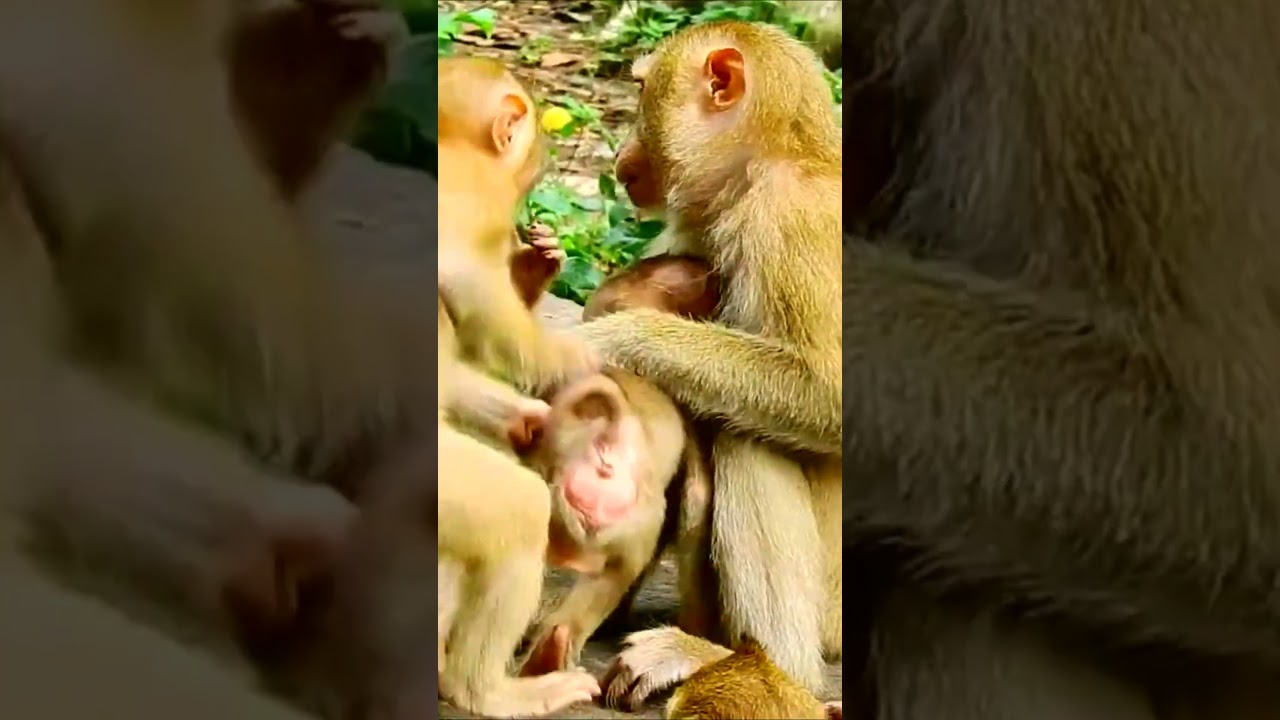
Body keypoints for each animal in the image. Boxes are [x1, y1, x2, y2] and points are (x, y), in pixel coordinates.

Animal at [574, 21, 843, 703]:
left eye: (642, 89)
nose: (622, 153)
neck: (772, 161)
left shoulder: (787, 223)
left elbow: (828, 397)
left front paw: (614, 338)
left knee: (748, 440)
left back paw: (755, 661)